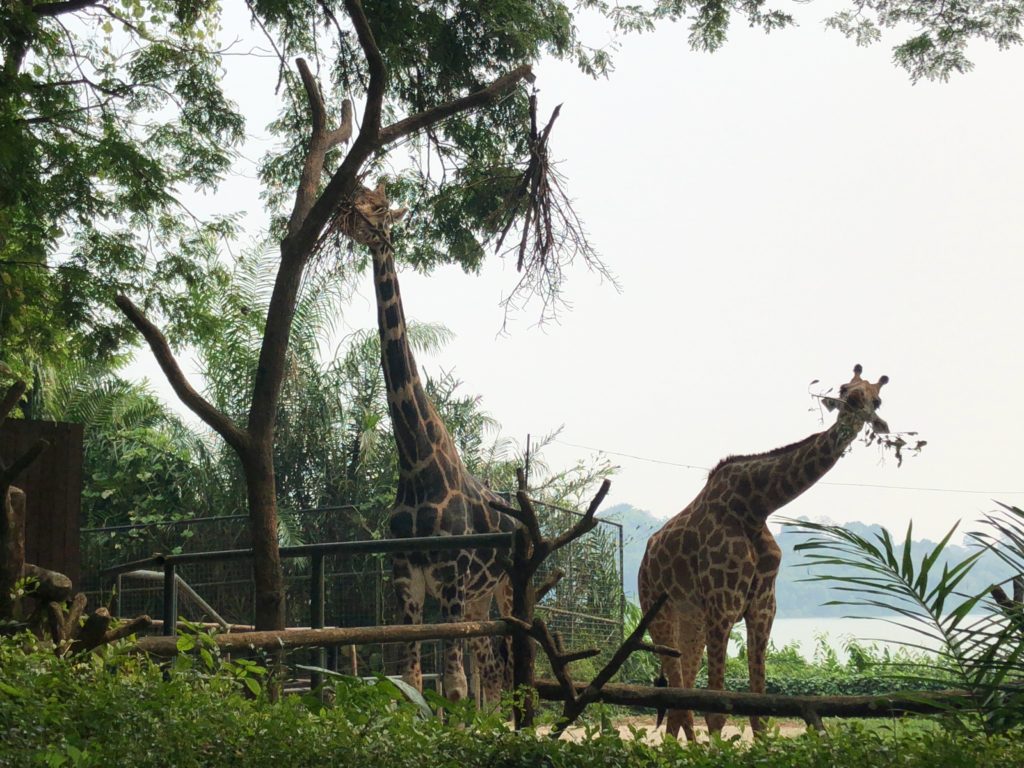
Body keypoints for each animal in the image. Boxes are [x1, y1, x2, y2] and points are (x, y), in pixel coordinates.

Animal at [333, 183, 516, 708]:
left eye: (377, 207)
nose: (343, 209)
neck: (416, 465)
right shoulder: (407, 584)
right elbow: (410, 680)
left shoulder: (450, 580)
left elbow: (452, 687)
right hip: (478, 598)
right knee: (492, 667)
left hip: (505, 589)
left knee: (505, 663)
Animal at [638, 366, 888, 745]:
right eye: (846, 389)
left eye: (876, 399)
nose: (852, 417)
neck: (755, 508)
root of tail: (644, 560)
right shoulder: (723, 606)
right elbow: (717, 710)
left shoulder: (763, 609)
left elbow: (760, 708)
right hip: (658, 612)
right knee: (678, 696)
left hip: (691, 619)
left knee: (681, 699)